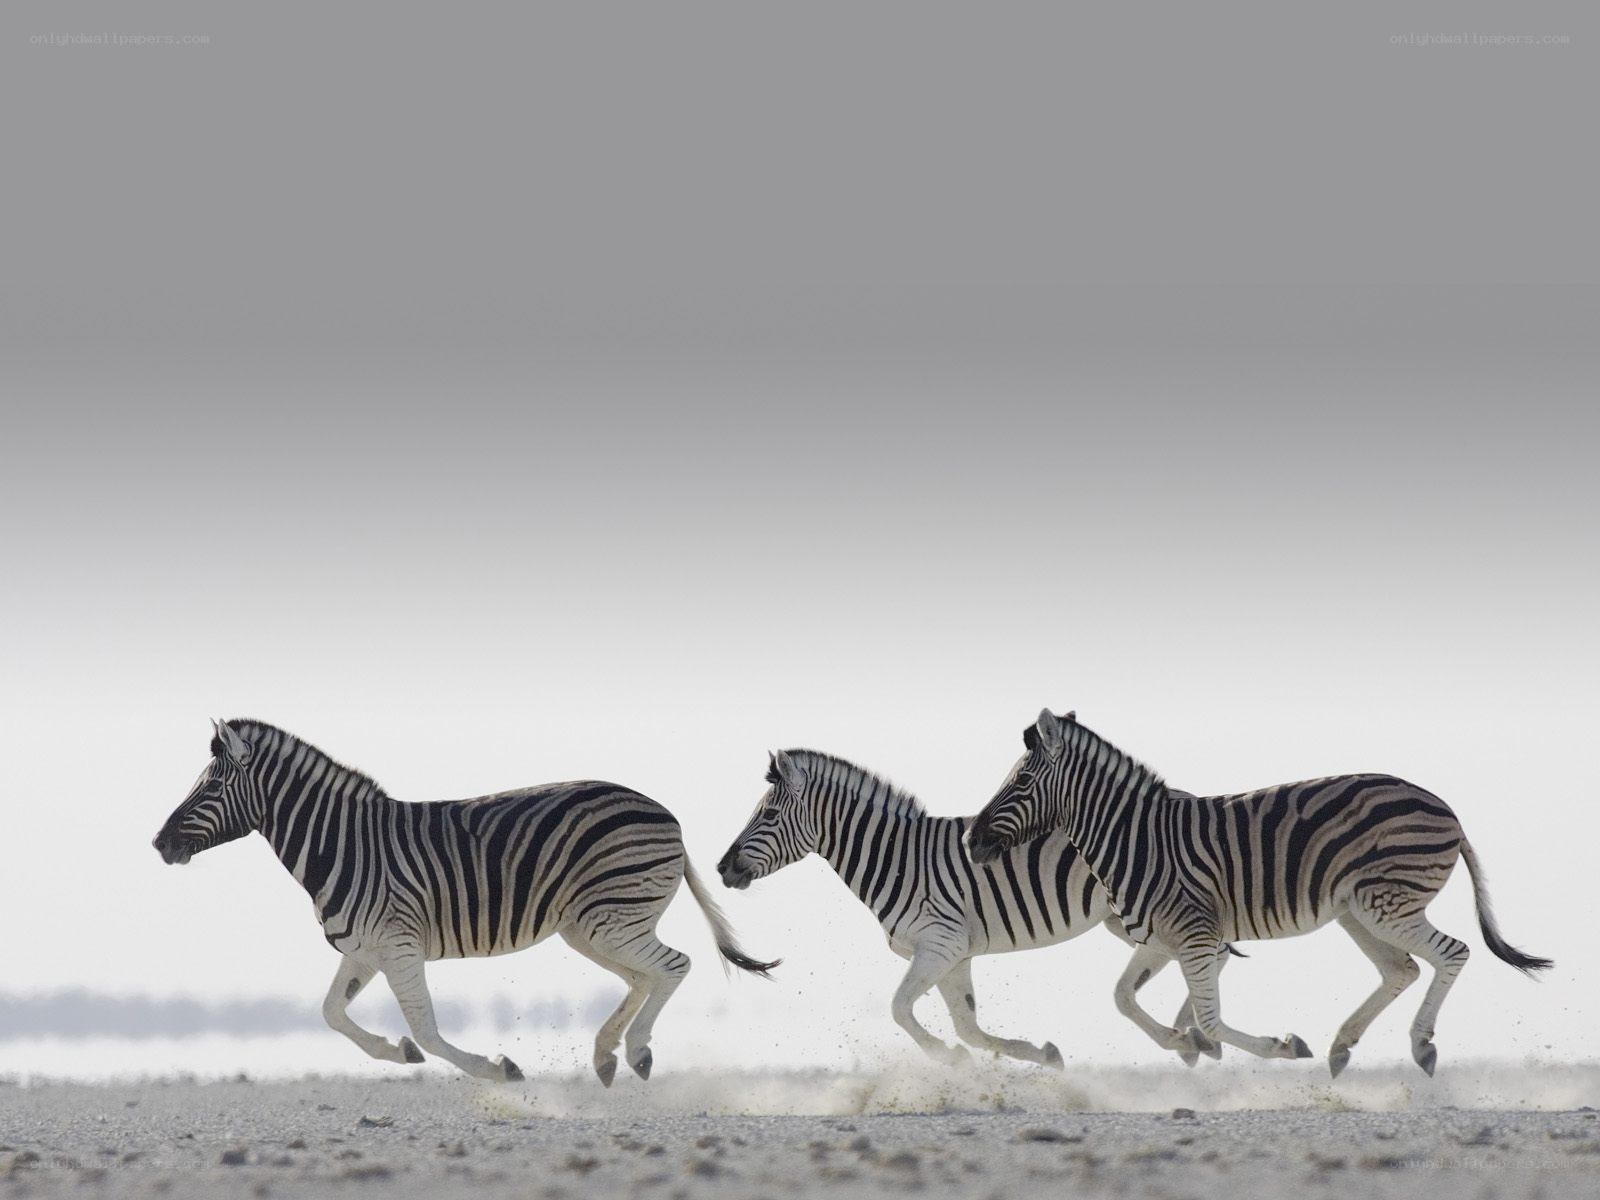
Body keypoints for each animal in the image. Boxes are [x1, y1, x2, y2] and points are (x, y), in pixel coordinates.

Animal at [152, 719, 777, 1083]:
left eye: (212, 785)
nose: (159, 844)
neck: (342, 844)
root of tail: (665, 812)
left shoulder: (399, 946)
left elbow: (428, 1028)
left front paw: (496, 1069)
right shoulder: (364, 951)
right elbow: (331, 1013)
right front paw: (397, 1052)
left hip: (610, 918)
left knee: (674, 965)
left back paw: (638, 1052)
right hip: (591, 925)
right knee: (644, 976)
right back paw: (607, 1055)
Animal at [716, 749, 1230, 1067]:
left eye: (768, 814)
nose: (722, 867)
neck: (897, 858)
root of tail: (1188, 799)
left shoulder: (939, 945)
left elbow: (900, 1010)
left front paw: (948, 1058)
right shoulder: (953, 955)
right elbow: (968, 1026)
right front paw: (1041, 1055)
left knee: (1210, 954)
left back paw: (1193, 1037)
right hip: (1125, 919)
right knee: (1210, 955)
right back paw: (1190, 1038)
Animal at [967, 709, 1553, 1077]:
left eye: (1021, 783)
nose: (972, 842)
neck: (1135, 838)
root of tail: (1445, 807)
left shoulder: (1194, 932)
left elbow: (1210, 1019)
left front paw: (1275, 1046)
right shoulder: (1160, 938)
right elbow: (1124, 998)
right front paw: (1185, 1044)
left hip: (1386, 903)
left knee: (1452, 952)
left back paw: (1421, 1045)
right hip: (1358, 911)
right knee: (1401, 970)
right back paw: (1342, 1047)